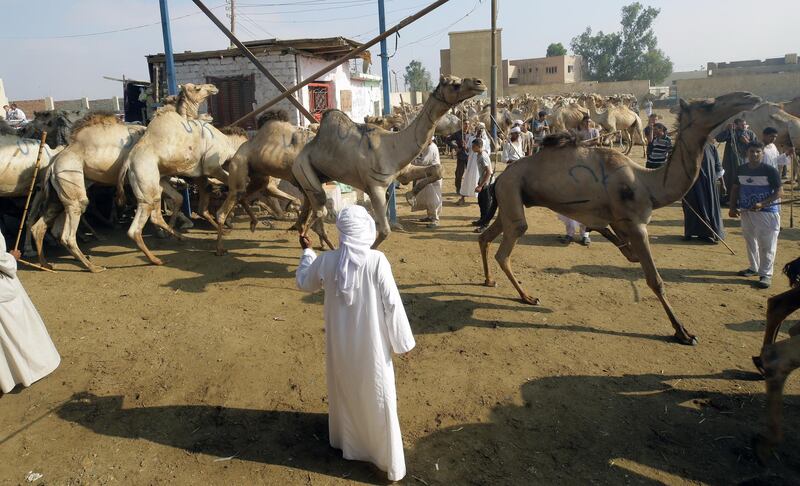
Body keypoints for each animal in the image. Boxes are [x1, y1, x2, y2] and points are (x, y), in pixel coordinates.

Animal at [290, 75, 484, 247]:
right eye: (454, 84)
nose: (480, 83)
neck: (392, 145)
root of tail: (303, 152)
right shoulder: (375, 187)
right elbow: (384, 231)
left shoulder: (402, 171)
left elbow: (437, 169)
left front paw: (411, 197)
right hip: (302, 168)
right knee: (319, 208)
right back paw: (310, 241)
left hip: (317, 175)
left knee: (309, 207)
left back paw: (311, 239)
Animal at [478, 91, 760, 346]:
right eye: (708, 104)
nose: (749, 97)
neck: (650, 185)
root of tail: (498, 179)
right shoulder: (637, 226)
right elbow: (655, 280)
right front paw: (683, 332)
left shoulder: (621, 221)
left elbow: (625, 248)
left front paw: (601, 233)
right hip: (512, 191)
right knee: (507, 247)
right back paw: (527, 296)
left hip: (510, 198)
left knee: (487, 236)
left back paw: (490, 280)